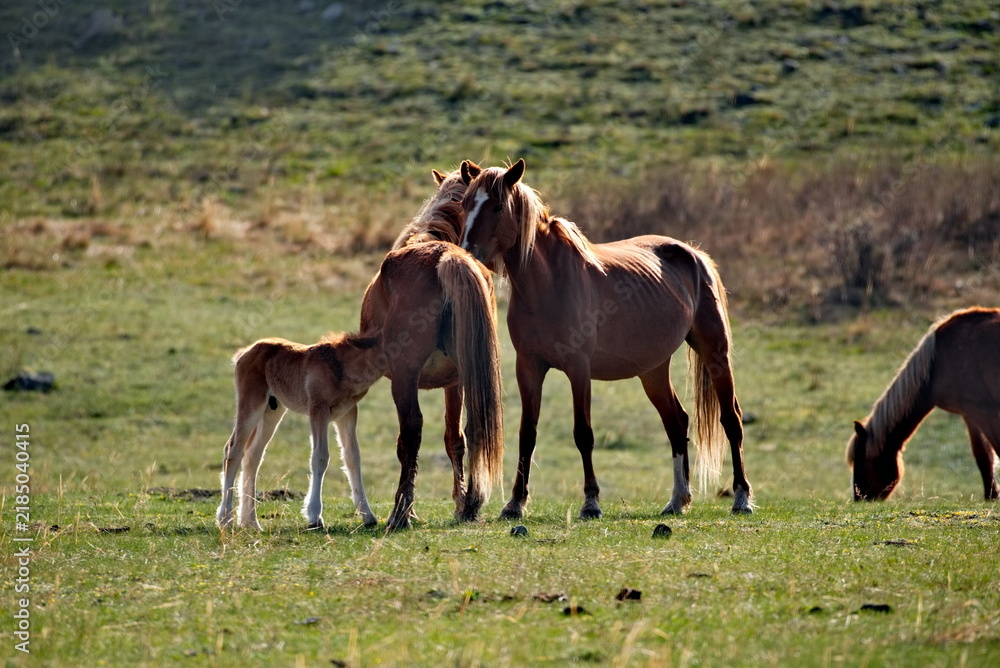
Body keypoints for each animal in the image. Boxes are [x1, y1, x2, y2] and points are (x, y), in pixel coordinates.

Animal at [217, 240, 503, 532]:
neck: (339, 364)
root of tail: (244, 353)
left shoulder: (346, 413)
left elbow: (351, 458)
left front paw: (364, 514)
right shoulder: (320, 411)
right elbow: (321, 457)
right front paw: (316, 516)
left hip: (273, 410)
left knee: (252, 455)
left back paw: (249, 521)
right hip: (256, 405)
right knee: (234, 449)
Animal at [456, 159, 753, 518]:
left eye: (498, 206)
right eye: (464, 204)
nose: (467, 253)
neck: (548, 284)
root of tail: (695, 255)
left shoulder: (578, 368)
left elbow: (583, 434)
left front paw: (591, 502)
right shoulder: (529, 368)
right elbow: (528, 433)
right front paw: (515, 503)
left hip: (714, 353)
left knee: (731, 420)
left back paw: (741, 498)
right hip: (652, 370)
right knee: (677, 422)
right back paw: (677, 500)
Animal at [847, 307, 1000, 501]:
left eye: (860, 461)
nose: (859, 498)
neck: (936, 363)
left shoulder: (982, 411)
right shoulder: (970, 414)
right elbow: (983, 455)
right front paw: (991, 496)